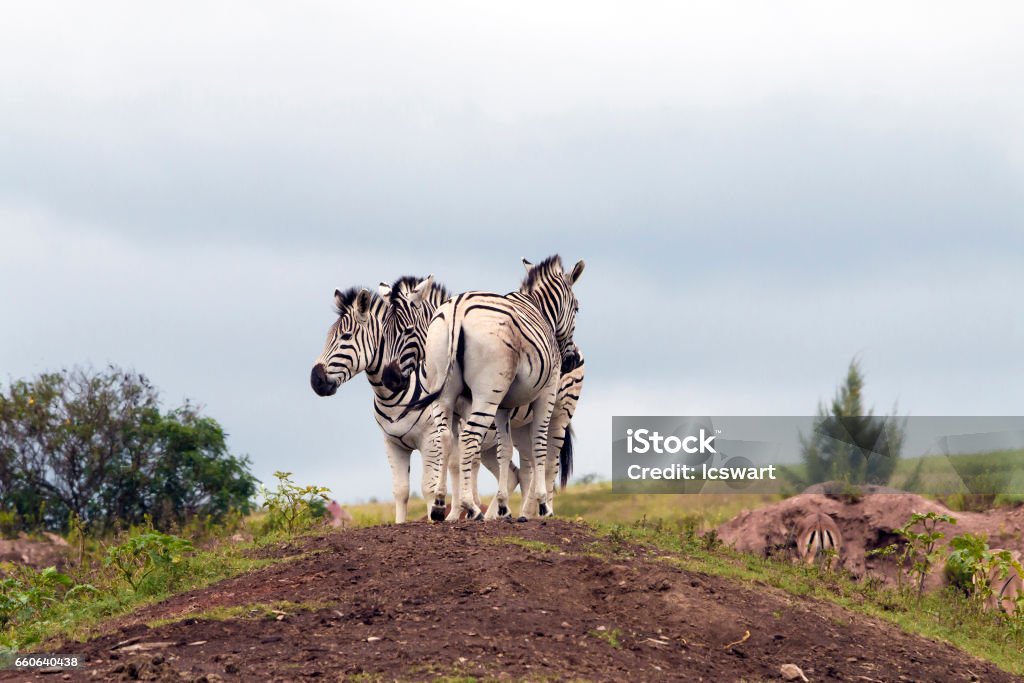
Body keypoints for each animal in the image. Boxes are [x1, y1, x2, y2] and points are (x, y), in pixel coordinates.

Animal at [405, 253, 589, 520]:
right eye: (576, 307)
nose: (571, 360)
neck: (540, 311)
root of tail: (457, 308)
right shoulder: (546, 392)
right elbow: (538, 445)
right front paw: (540, 504)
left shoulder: (503, 405)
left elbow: (504, 450)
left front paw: (502, 504)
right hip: (518, 403)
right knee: (541, 454)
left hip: (448, 394)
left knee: (447, 438)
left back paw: (442, 506)